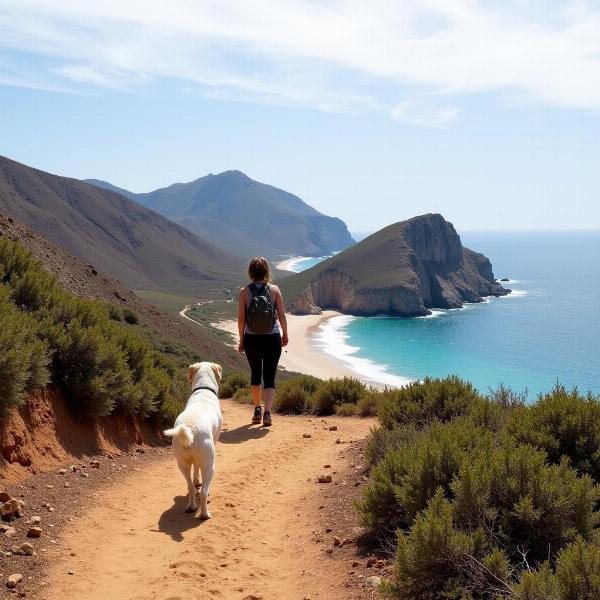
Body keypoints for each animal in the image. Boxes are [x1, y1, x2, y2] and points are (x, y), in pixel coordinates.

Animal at [163, 360, 221, 520]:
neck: (204, 388)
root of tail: (190, 428)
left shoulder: (192, 461)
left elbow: (195, 471)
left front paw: (196, 480)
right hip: (210, 466)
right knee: (203, 492)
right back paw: (205, 514)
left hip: (182, 464)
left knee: (190, 486)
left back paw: (191, 506)